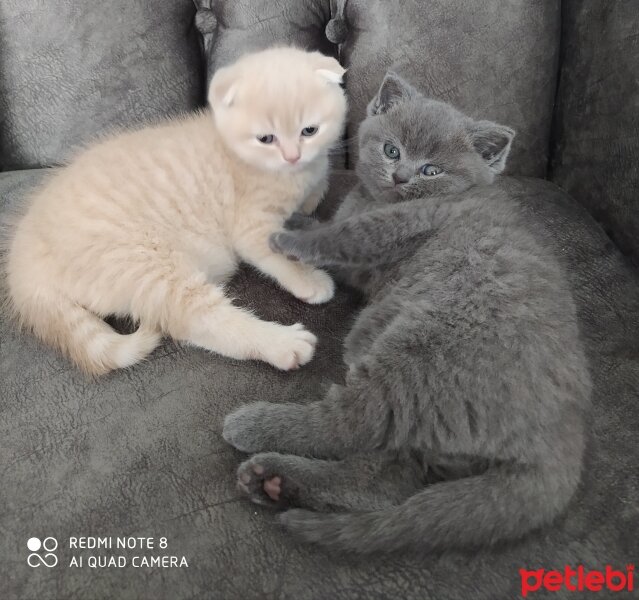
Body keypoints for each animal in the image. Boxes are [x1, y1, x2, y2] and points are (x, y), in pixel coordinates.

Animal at [5, 48, 348, 376]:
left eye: (309, 130)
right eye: (266, 138)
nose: (293, 156)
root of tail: (22, 264)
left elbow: (319, 185)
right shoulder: (250, 225)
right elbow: (274, 253)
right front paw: (307, 279)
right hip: (148, 263)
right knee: (196, 319)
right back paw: (282, 343)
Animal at [222, 72, 592, 556]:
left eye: (431, 170)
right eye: (392, 150)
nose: (399, 177)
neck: (376, 199)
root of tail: (563, 441)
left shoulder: (403, 222)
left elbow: (345, 235)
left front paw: (288, 237)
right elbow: (335, 227)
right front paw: (300, 221)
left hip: (421, 354)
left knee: (348, 423)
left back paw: (255, 429)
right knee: (382, 479)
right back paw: (273, 481)